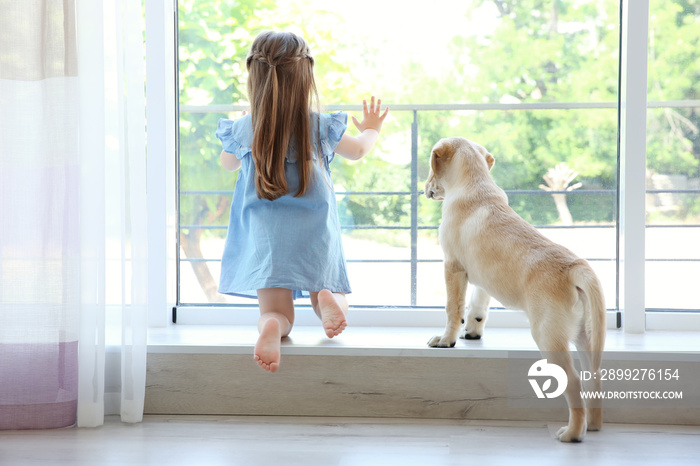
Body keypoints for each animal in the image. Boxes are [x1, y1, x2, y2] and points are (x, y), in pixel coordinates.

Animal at [424, 137, 604, 442]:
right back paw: (592, 425)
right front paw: (472, 331)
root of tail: (575, 267)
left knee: (573, 382)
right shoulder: (482, 278)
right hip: (584, 337)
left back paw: (572, 433)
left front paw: (447, 340)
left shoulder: (453, 266)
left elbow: (453, 308)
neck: (477, 185)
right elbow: (477, 305)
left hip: (547, 336)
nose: (425, 189)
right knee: (593, 378)